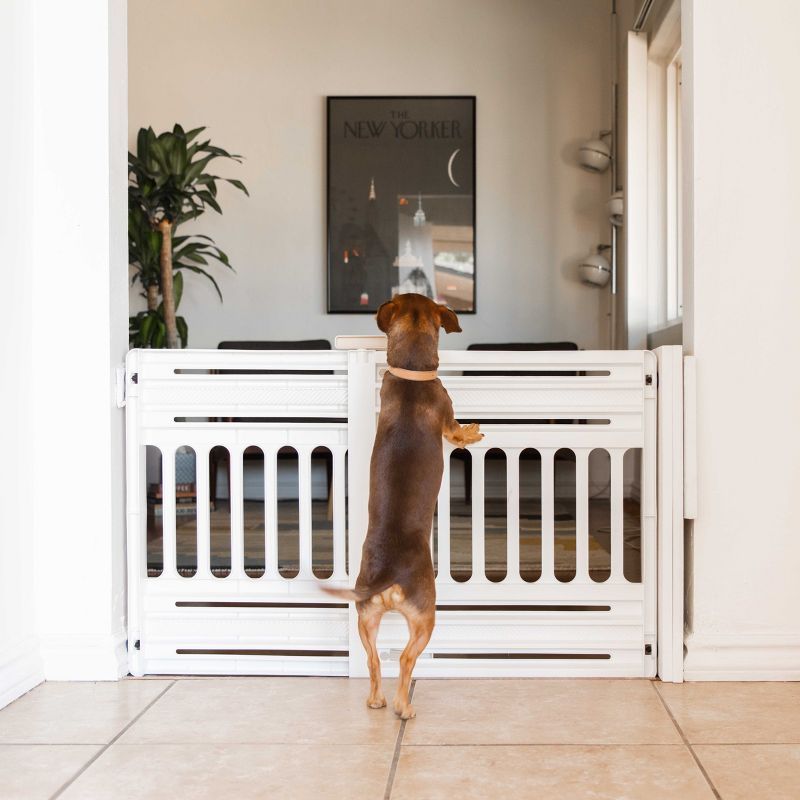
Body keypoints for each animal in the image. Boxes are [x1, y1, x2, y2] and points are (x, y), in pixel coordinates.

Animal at [324, 292, 484, 720]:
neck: (413, 372)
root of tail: (388, 578)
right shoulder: (447, 416)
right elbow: (457, 432)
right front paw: (473, 433)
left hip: (366, 618)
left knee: (374, 660)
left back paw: (377, 700)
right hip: (426, 617)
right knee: (405, 659)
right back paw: (403, 706)